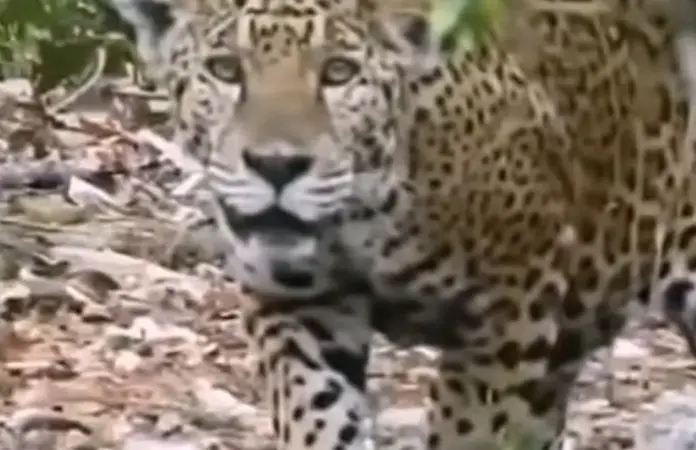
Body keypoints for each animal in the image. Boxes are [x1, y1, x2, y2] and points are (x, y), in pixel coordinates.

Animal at [106, 0, 696, 448]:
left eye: (339, 72)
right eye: (226, 70)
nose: (277, 166)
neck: (362, 218)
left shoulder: (510, 309)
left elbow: (472, 428)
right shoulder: (293, 302)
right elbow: (315, 410)